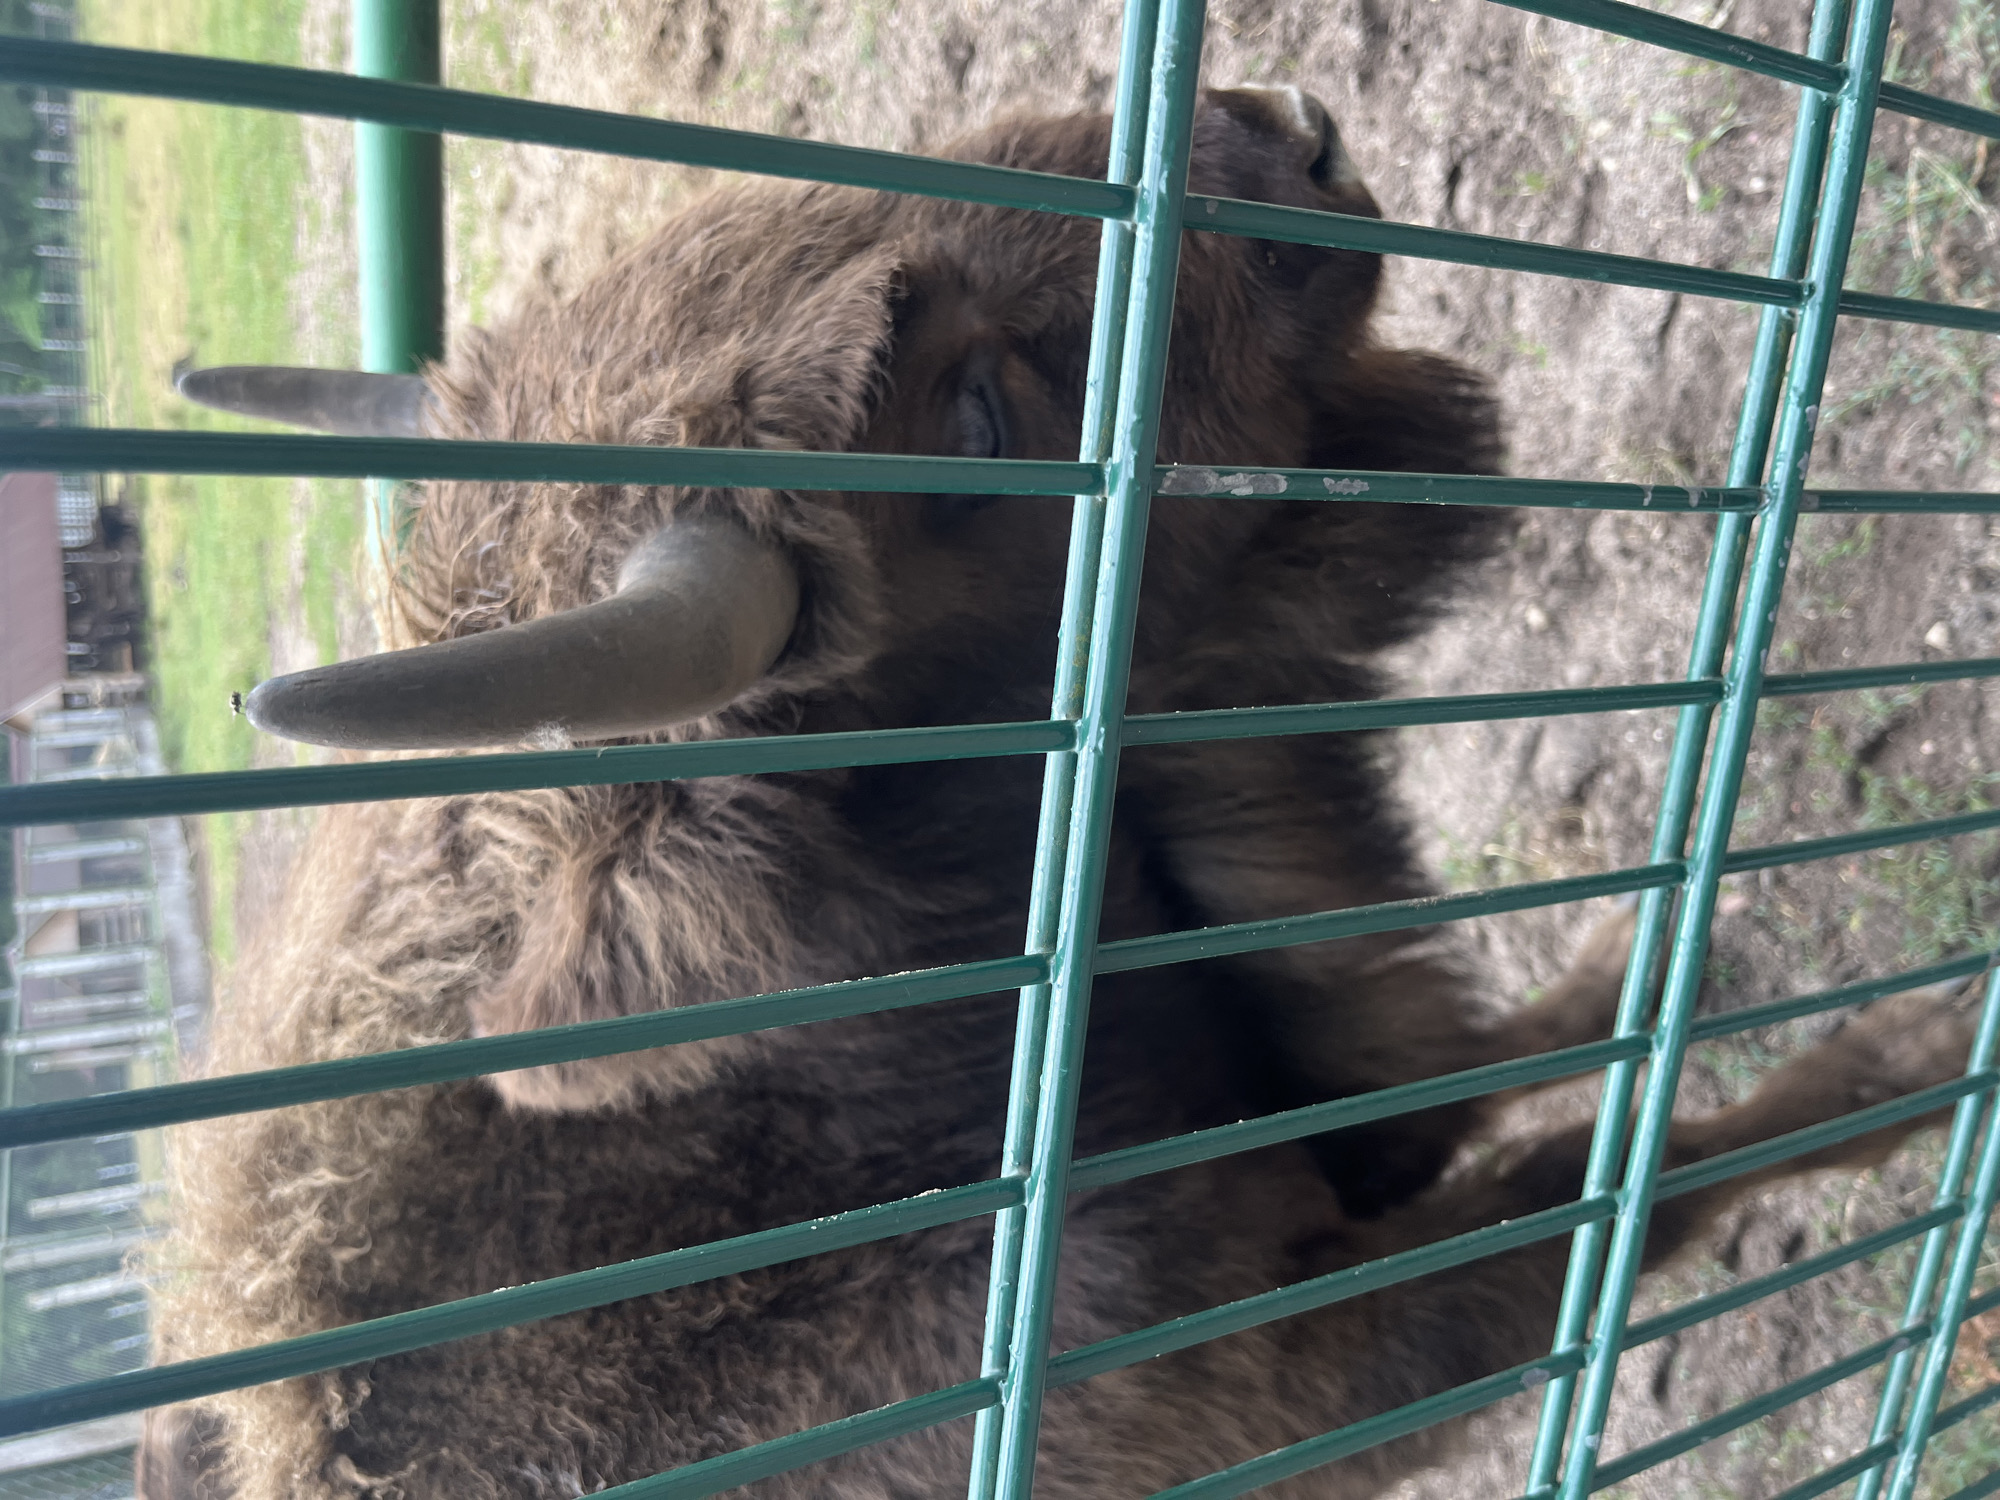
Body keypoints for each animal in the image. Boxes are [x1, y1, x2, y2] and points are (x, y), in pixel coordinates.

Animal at [141, 87, 1975, 1499]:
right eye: (967, 417)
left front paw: (1648, 962)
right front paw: (1923, 1048)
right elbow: (1617, 1185)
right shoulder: (1313, 1355)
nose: (1287, 139)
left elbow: (1494, 1063)